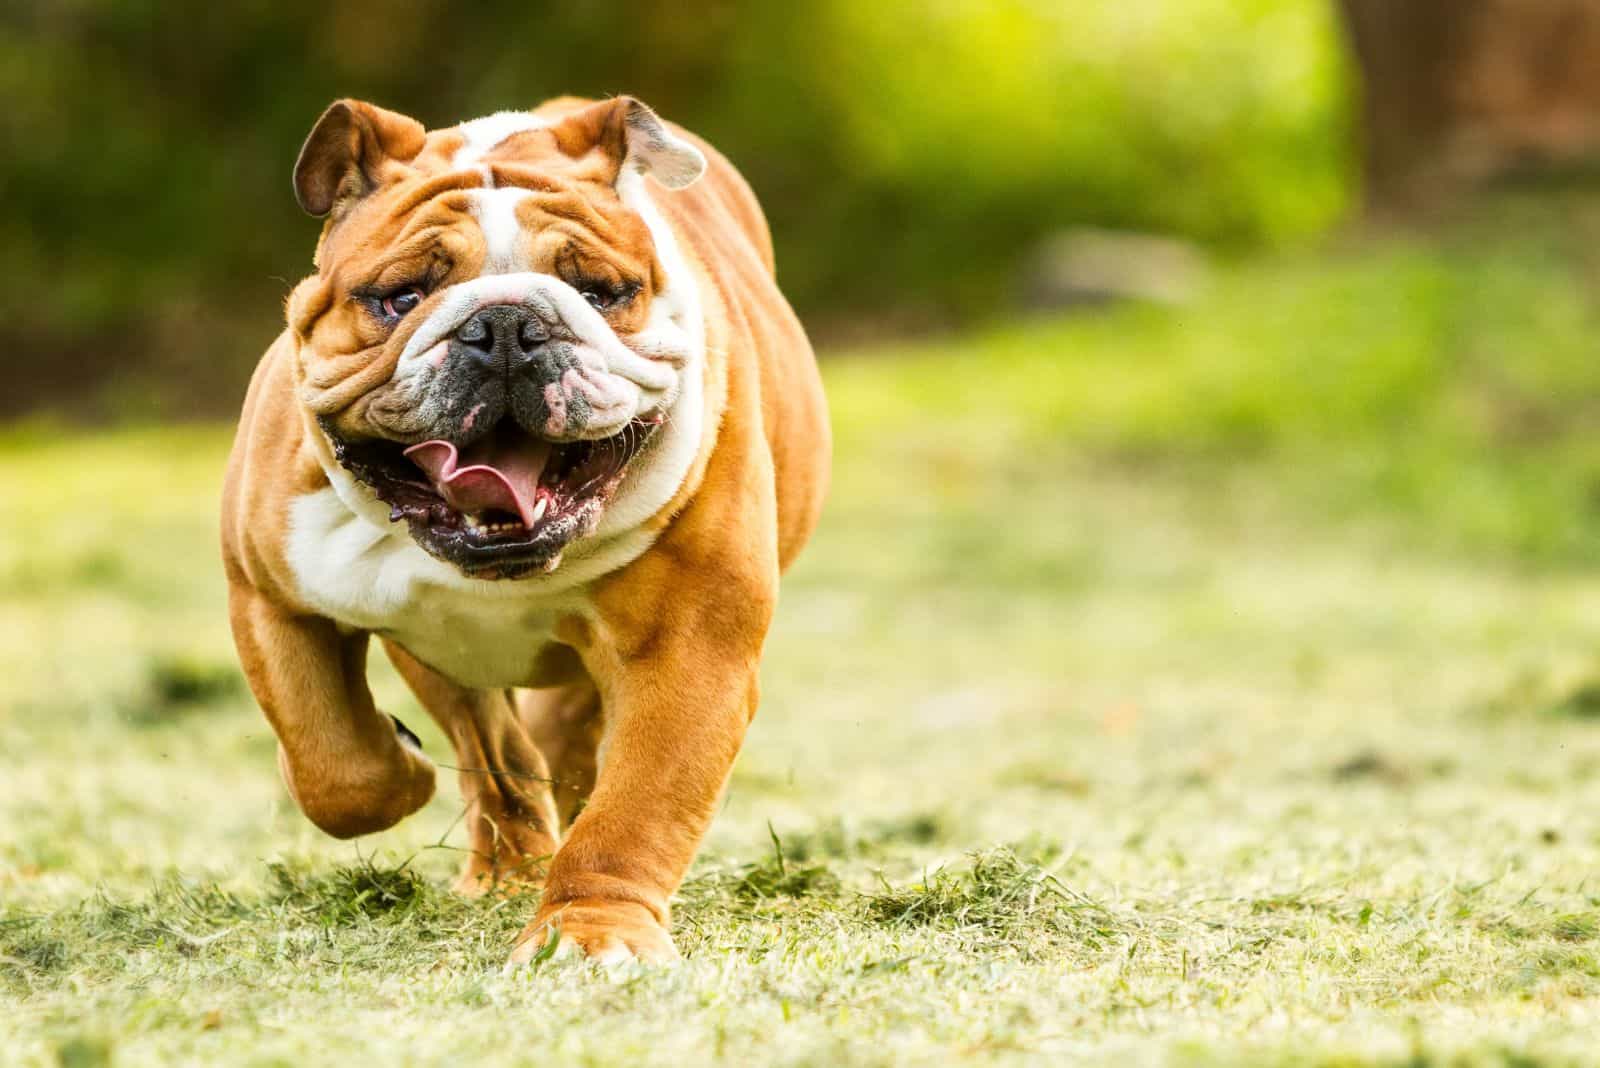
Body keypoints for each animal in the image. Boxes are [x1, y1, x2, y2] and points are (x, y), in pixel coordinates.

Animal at [220, 97, 832, 965]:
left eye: (601, 292)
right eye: (401, 296)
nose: (505, 324)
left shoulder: (688, 651)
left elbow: (636, 810)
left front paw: (590, 933)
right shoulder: (269, 596)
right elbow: (334, 762)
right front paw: (401, 766)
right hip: (440, 660)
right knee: (494, 752)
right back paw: (505, 869)